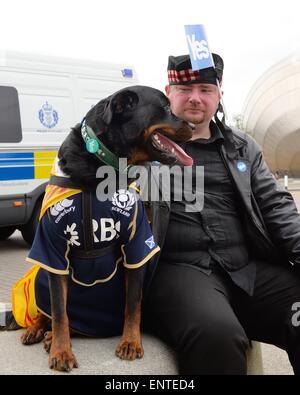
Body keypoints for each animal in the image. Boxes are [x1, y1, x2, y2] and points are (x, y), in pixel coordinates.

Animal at [5, 85, 195, 372]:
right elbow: (59, 312)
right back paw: (39, 330)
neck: (99, 169)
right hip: (40, 277)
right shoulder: (52, 248)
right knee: (54, 311)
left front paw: (131, 342)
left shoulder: (136, 242)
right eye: (165, 108)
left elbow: (133, 303)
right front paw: (61, 351)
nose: (194, 126)